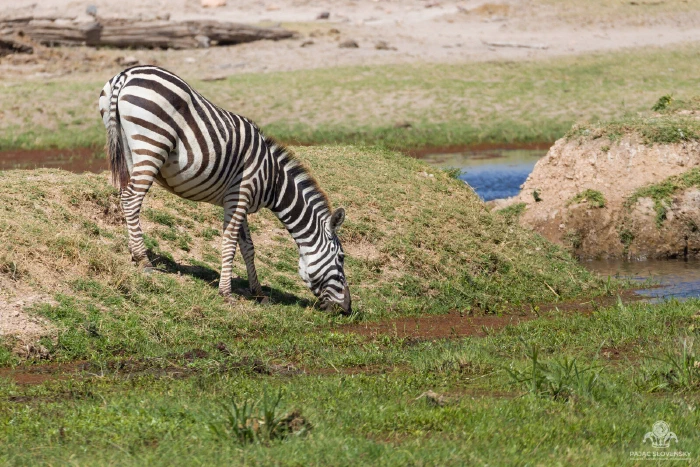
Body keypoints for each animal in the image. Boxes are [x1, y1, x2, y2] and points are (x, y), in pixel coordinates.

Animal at [98, 65, 351, 315]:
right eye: (341, 258)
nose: (348, 309)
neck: (272, 178)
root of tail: (126, 74)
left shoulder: (241, 201)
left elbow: (248, 247)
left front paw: (258, 293)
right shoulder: (240, 194)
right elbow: (230, 243)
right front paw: (226, 293)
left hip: (130, 150)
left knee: (127, 196)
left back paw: (134, 253)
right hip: (152, 145)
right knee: (132, 198)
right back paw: (142, 259)